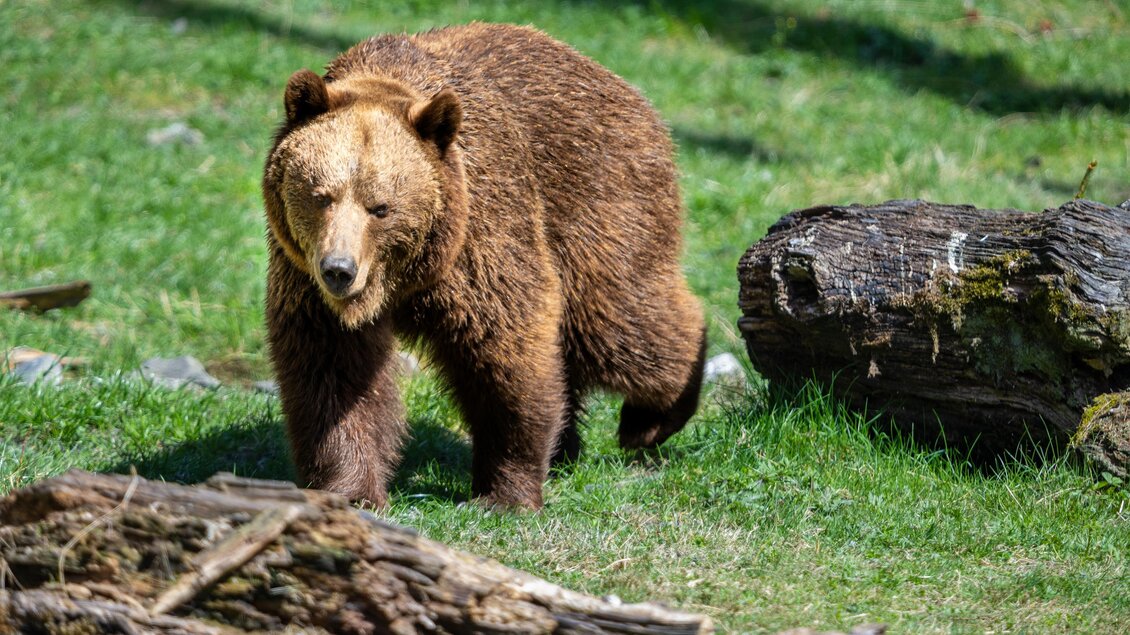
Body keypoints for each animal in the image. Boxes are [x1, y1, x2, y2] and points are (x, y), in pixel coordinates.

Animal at [263, 23, 706, 510]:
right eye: (320, 195)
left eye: (381, 207)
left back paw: (650, 419)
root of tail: (623, 87)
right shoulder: (305, 281)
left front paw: (503, 492)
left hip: (598, 200)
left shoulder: (482, 235)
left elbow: (505, 348)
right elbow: (333, 373)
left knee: (618, 320)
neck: (402, 279)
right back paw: (568, 445)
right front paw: (350, 489)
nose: (339, 269)